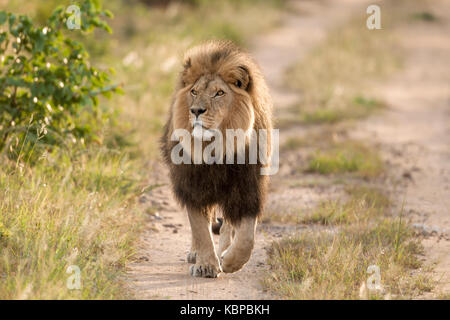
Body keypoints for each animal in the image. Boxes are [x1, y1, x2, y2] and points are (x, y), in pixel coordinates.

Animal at [162, 40, 274, 278]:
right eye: (194, 92)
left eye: (219, 93)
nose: (196, 110)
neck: (216, 147)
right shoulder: (192, 185)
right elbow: (199, 228)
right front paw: (205, 265)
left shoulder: (247, 187)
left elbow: (246, 236)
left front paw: (231, 261)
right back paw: (197, 254)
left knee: (227, 226)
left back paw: (223, 252)